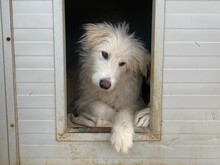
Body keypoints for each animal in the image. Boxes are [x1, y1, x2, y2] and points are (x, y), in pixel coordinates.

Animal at [72, 22, 151, 153]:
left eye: (122, 64)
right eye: (104, 54)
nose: (104, 84)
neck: (108, 92)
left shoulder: (134, 101)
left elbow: (124, 112)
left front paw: (122, 136)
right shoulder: (83, 100)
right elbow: (99, 106)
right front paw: (112, 116)